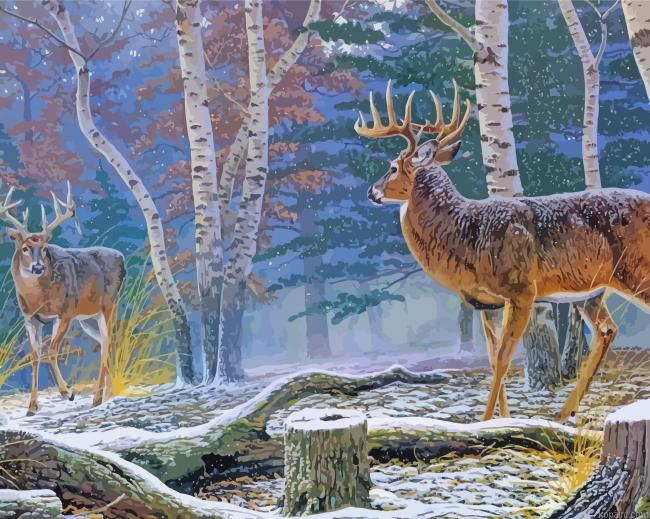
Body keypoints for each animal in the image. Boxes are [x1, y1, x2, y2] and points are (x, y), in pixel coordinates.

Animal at [0, 181, 125, 415]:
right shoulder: (30, 317)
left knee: (108, 340)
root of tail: (122, 257)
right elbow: (35, 356)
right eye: (25, 248)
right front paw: (32, 406)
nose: (38, 267)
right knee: (105, 342)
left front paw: (67, 392)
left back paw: (97, 396)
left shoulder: (66, 312)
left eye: (44, 249)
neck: (39, 297)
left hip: (109, 304)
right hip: (88, 318)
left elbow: (51, 351)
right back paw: (106, 393)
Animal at [355, 80, 650, 423]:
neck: (466, 233)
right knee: (607, 330)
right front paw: (501, 419)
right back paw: (562, 415)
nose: (371, 191)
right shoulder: (486, 301)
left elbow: (504, 357)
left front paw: (484, 421)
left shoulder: (521, 289)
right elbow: (493, 356)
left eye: (392, 167)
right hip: (593, 292)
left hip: (637, 271)